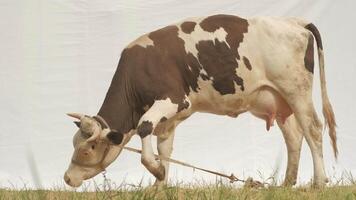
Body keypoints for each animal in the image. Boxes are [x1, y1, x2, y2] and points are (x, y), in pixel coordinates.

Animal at [62, 14, 336, 188]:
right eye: (73, 143)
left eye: (86, 149)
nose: (67, 178)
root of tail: (295, 22)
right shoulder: (169, 121)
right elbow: (165, 149)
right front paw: (159, 185)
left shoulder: (173, 100)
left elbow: (144, 127)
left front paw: (156, 170)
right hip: (279, 101)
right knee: (294, 137)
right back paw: (287, 183)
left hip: (296, 91)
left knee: (313, 129)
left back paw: (318, 182)